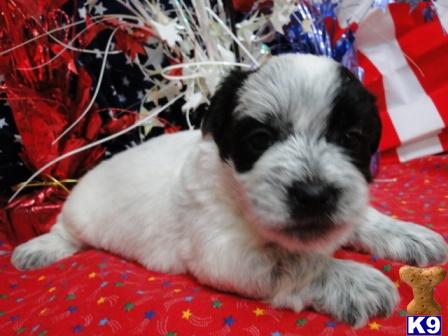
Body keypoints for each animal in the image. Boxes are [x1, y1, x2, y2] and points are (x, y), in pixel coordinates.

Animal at [11, 54, 448, 326]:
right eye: (259, 139)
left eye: (351, 138)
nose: (313, 195)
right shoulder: (222, 249)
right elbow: (295, 260)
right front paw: (355, 280)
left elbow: (360, 218)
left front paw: (409, 234)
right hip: (79, 212)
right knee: (64, 231)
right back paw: (37, 249)